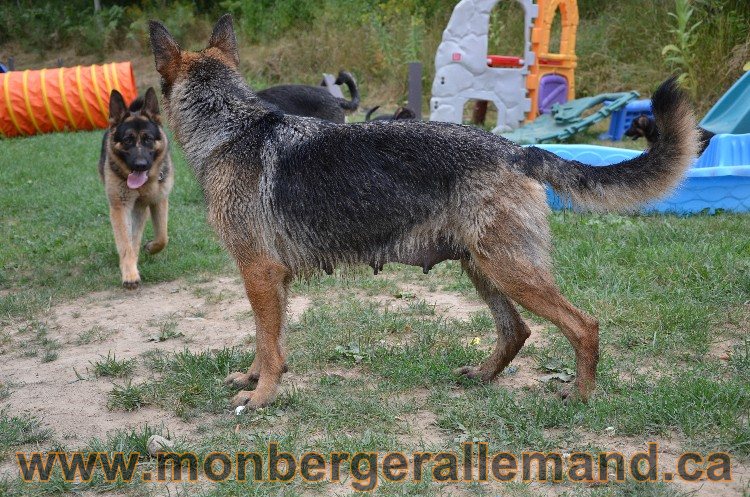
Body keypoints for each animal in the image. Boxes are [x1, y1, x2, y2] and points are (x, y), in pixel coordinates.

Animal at [99, 87, 174, 288]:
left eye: (148, 139)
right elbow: (126, 243)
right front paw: (130, 273)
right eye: (127, 140)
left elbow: (162, 237)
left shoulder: (158, 201)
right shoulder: (120, 207)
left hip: (141, 208)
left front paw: (150, 247)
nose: (140, 165)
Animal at [150, 15, 704, 408]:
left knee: (583, 325)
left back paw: (581, 396)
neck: (230, 129)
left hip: (511, 271)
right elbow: (267, 342)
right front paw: (252, 379)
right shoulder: (270, 282)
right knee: (517, 331)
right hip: (484, 270)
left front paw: (261, 395)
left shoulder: (260, 275)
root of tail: (515, 149)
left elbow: (268, 345)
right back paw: (483, 375)